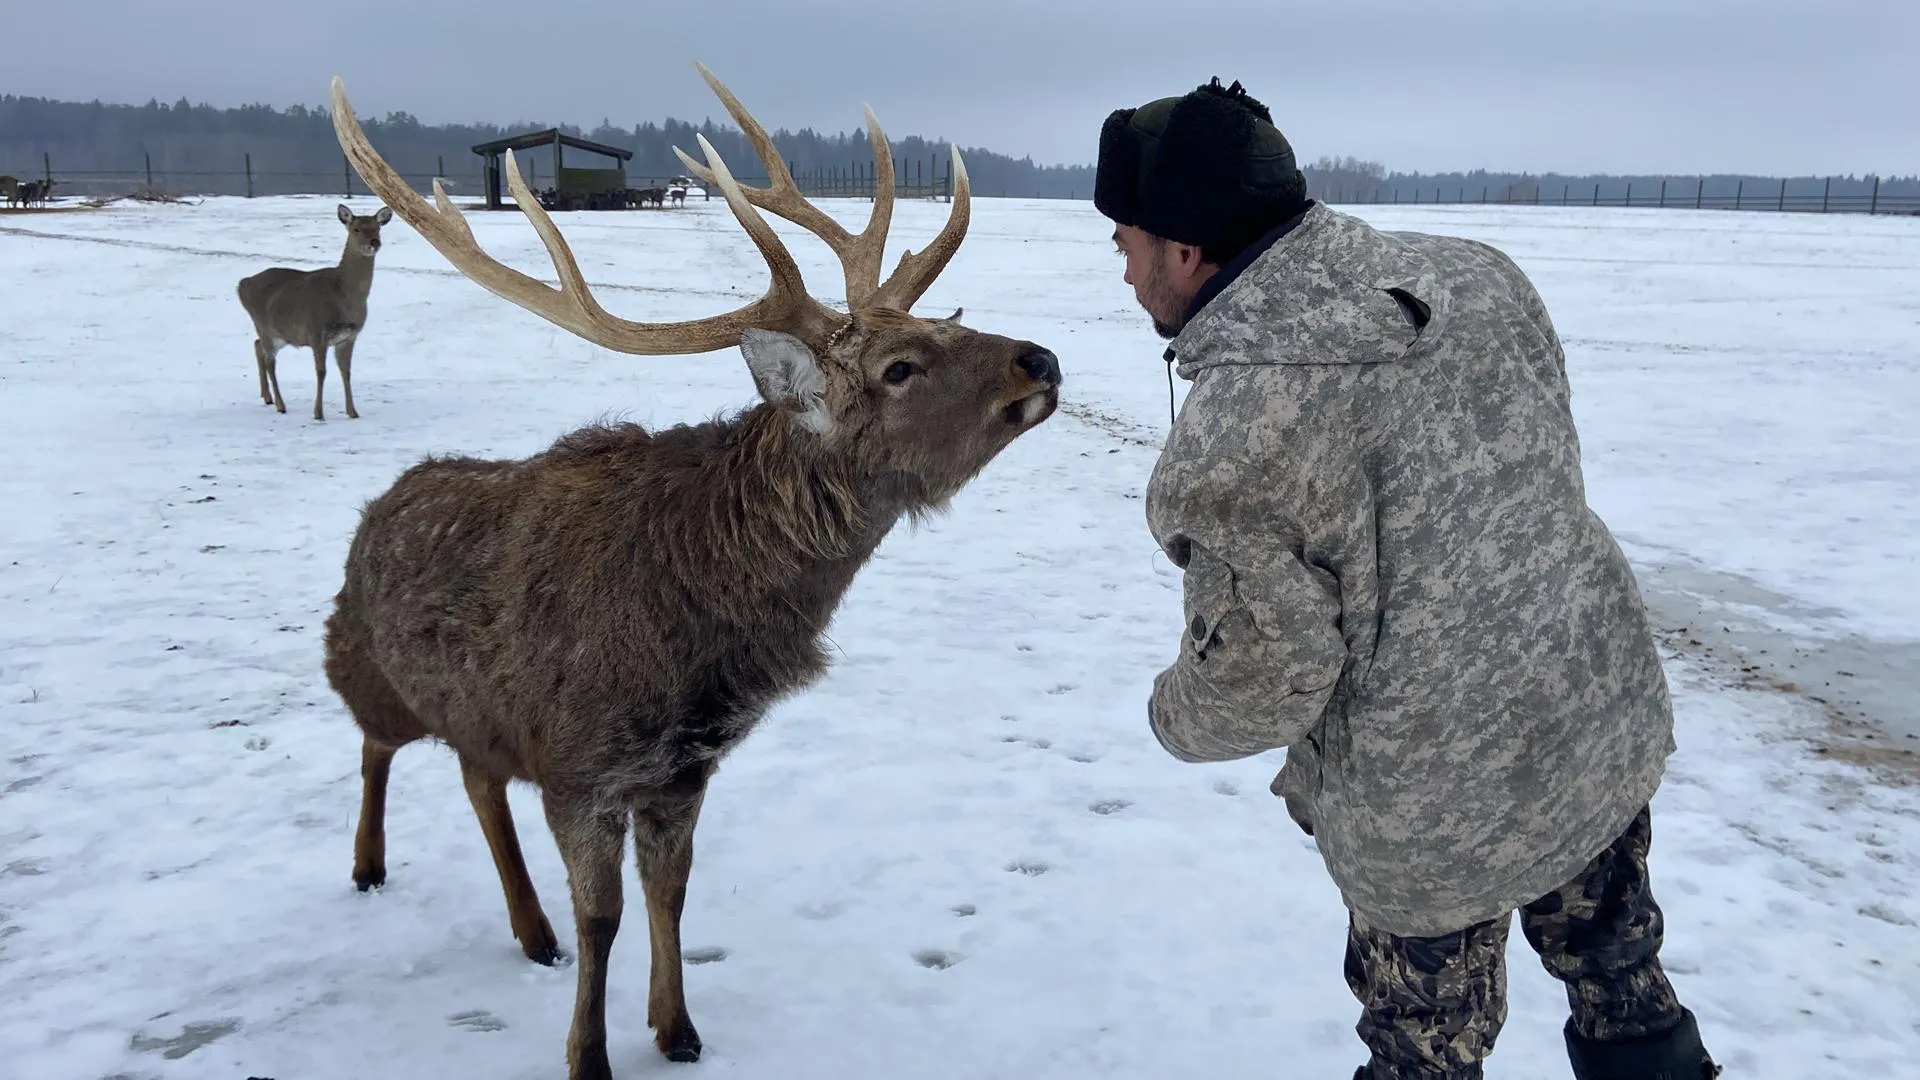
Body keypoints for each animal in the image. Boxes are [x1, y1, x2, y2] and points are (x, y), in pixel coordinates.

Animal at [234, 199, 391, 418]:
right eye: (356, 229)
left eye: (377, 228)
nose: (374, 242)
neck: (343, 295)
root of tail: (242, 284)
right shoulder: (316, 330)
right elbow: (321, 371)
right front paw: (318, 413)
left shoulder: (349, 336)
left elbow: (346, 372)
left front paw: (352, 412)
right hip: (263, 324)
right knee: (270, 362)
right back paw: (280, 405)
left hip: (280, 333)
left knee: (257, 346)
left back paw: (267, 397)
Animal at [322, 69, 1059, 1076]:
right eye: (901, 368)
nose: (1043, 359)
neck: (692, 644)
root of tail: (373, 513)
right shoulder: (579, 766)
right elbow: (604, 918)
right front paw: (587, 1054)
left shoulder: (682, 770)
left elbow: (670, 895)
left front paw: (676, 1029)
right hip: (366, 667)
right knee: (375, 747)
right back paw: (368, 866)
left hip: (481, 714)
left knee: (475, 777)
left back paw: (528, 929)